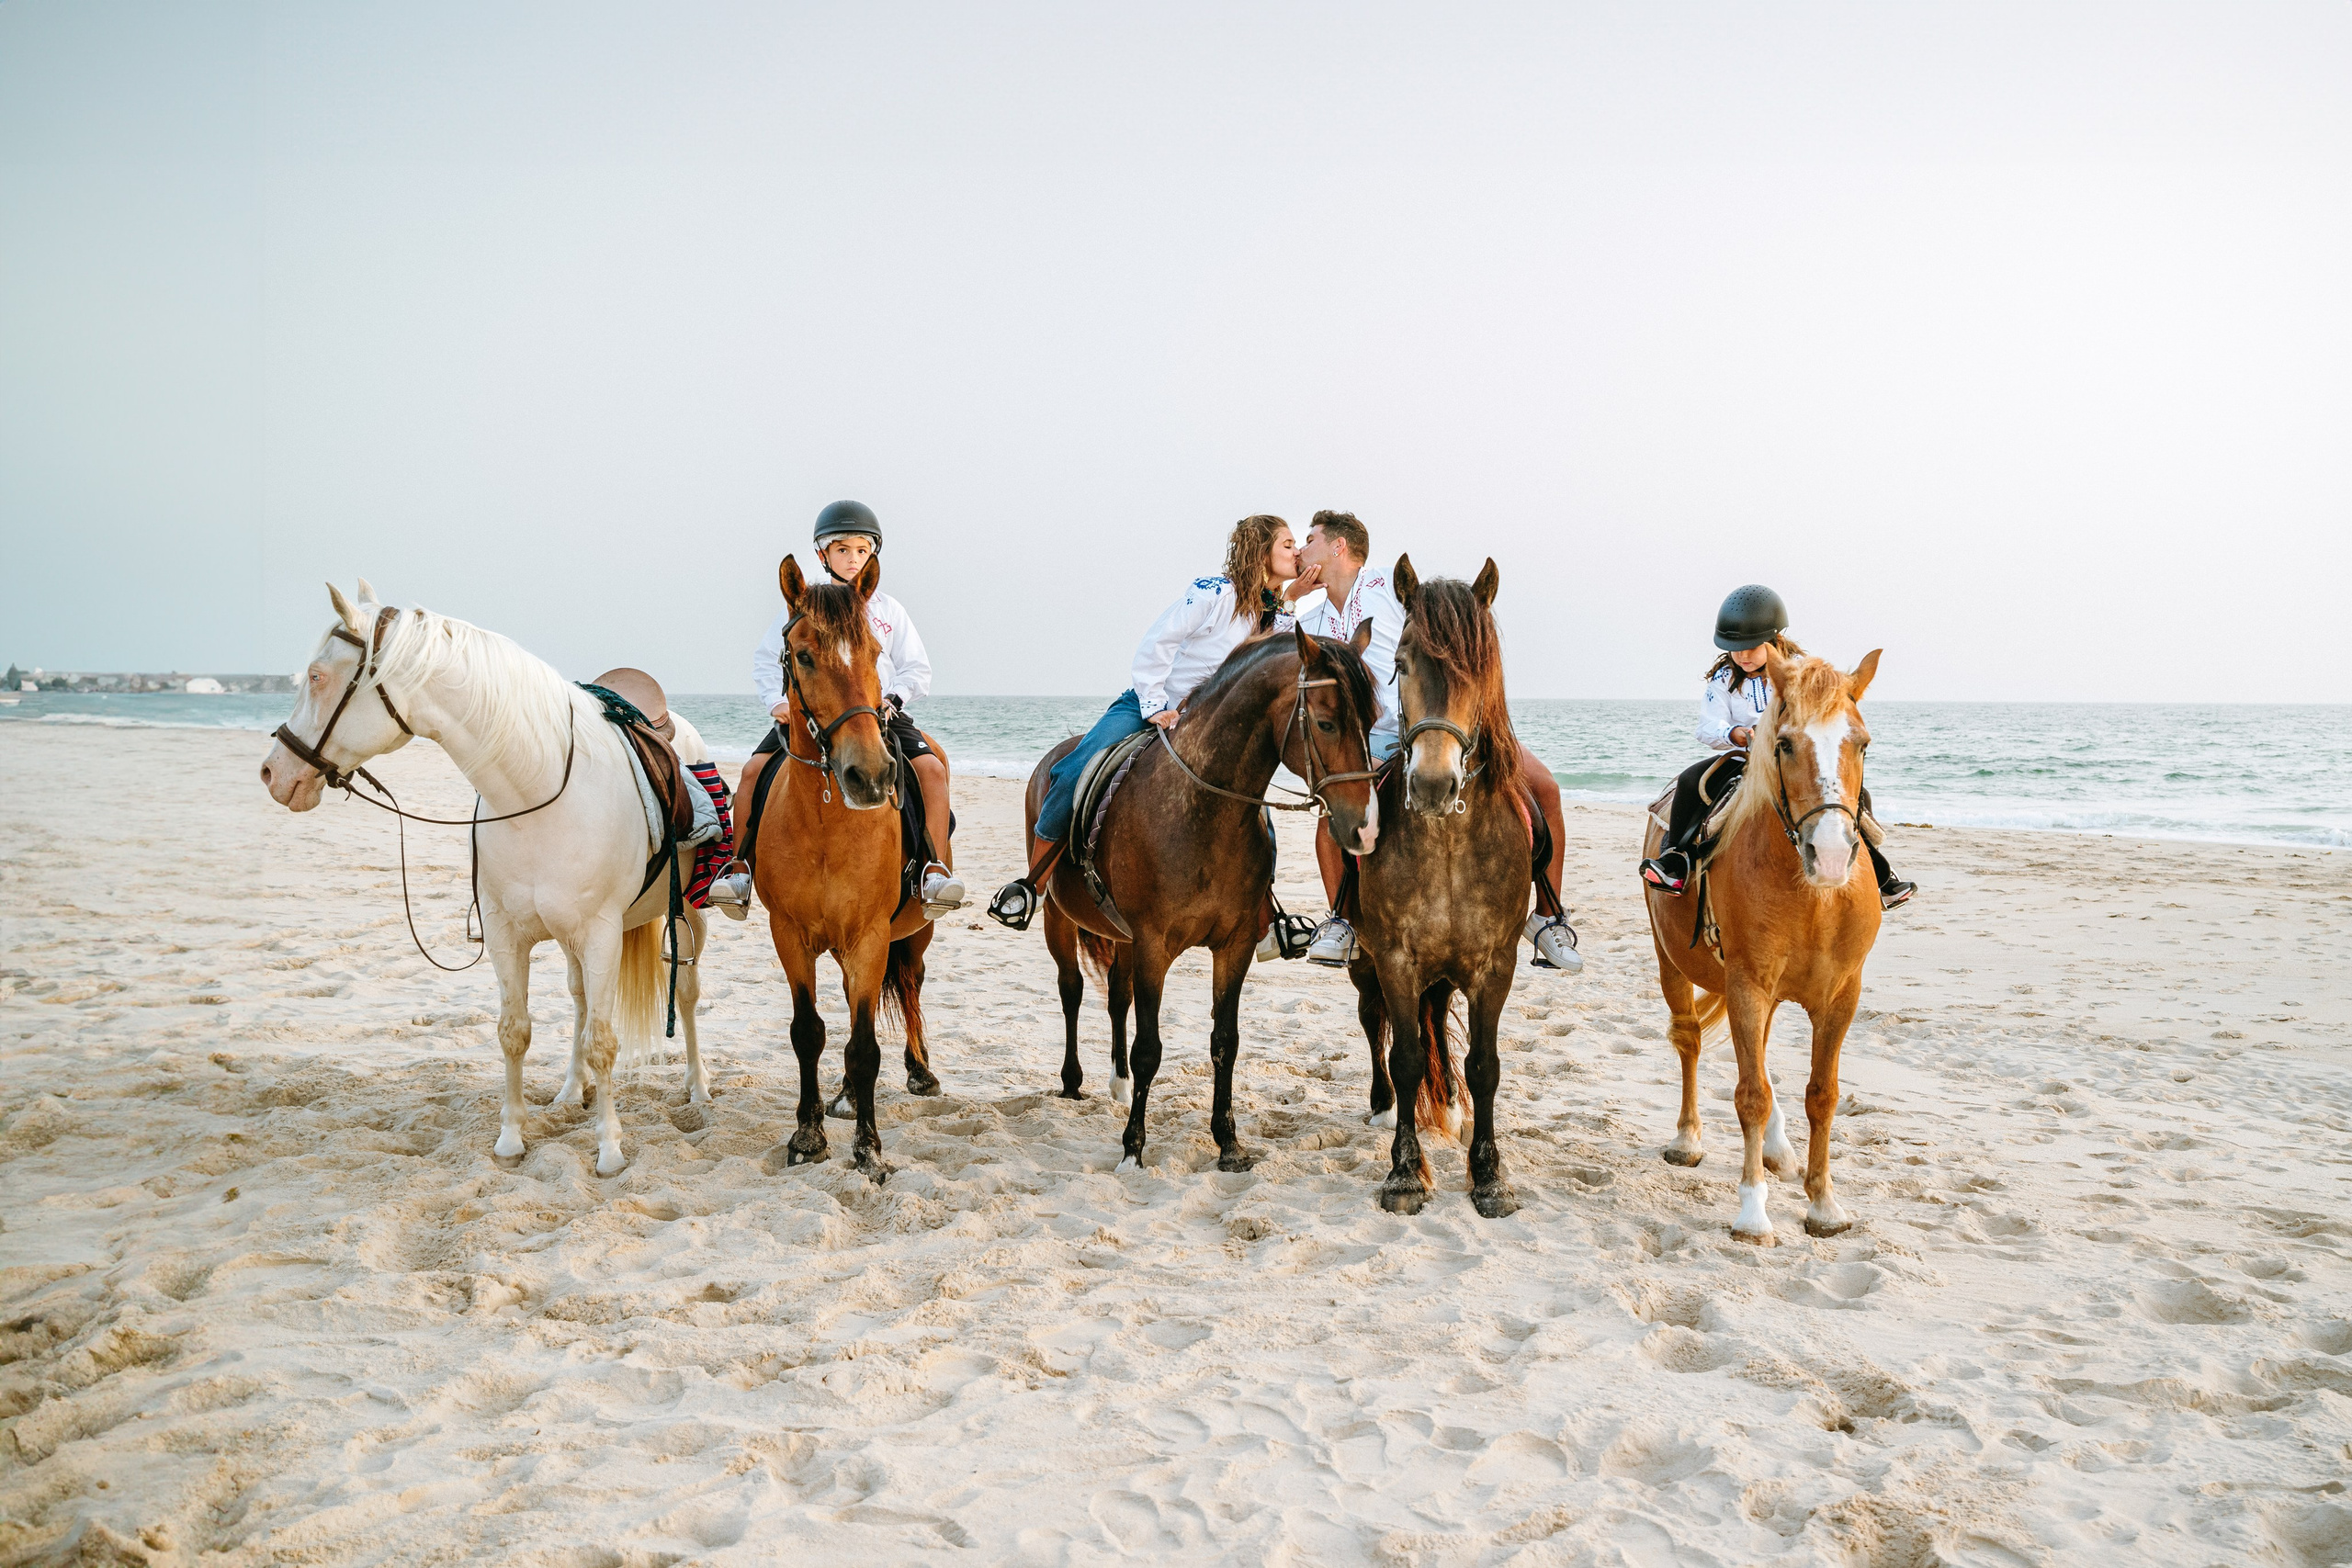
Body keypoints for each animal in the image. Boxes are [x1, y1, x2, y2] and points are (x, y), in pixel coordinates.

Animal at [258, 582, 710, 1177]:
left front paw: (610, 1149)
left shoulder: (601, 934)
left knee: (686, 993)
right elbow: (514, 1032)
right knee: (579, 1000)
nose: (273, 772)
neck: (536, 790)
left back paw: (698, 1089)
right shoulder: (504, 934)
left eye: (315, 676)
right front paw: (512, 1138)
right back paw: (571, 1091)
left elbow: (603, 1041)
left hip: (692, 917)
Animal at [748, 553, 939, 1181]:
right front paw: (808, 1136)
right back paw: (851, 1096)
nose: (871, 776)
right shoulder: (790, 934)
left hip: (913, 933)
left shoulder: (871, 935)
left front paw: (869, 1149)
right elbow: (809, 1032)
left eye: (877, 654)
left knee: (911, 986)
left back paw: (919, 1071)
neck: (827, 825)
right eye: (803, 654)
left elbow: (864, 1046)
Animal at [1031, 624, 1381, 1172]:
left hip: (1121, 937)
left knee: (1116, 997)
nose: (1365, 829)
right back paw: (1072, 1082)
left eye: (1372, 722)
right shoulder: (1153, 945)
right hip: (1059, 919)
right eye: (1325, 723)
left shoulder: (1232, 947)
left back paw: (1118, 1084)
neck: (1203, 811)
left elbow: (1225, 1043)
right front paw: (1133, 1148)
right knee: (1072, 990)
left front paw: (1228, 1143)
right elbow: (1149, 1048)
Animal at [1344, 558, 1531, 1218]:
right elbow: (1403, 1056)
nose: (1431, 784)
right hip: (1367, 962)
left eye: (1481, 667)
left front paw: (1489, 1174)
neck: (1447, 842)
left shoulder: (1494, 964)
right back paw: (1382, 1105)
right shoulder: (1395, 958)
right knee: (1373, 1020)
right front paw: (1404, 1171)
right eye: (1401, 664)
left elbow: (1485, 1065)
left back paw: (1446, 1098)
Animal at [1642, 644, 1885, 1243]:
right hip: (1672, 964)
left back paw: (1779, 1151)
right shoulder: (1747, 984)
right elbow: (1750, 1095)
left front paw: (1824, 1203)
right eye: (1785, 743)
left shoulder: (1841, 996)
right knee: (1689, 1041)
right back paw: (1688, 1138)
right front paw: (1753, 1212)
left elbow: (1822, 1094)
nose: (1830, 855)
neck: (1814, 899)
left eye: (1862, 743)